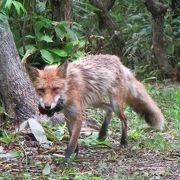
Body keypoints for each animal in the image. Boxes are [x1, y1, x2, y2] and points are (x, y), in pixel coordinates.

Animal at [25, 54, 165, 162]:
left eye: (55, 89)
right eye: (41, 90)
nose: (47, 107)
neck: (68, 89)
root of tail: (118, 61)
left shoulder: (78, 115)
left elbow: (72, 142)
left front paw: (66, 160)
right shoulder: (68, 114)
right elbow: (71, 135)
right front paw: (76, 152)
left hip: (114, 103)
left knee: (124, 119)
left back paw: (123, 141)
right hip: (94, 101)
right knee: (109, 109)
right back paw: (103, 132)